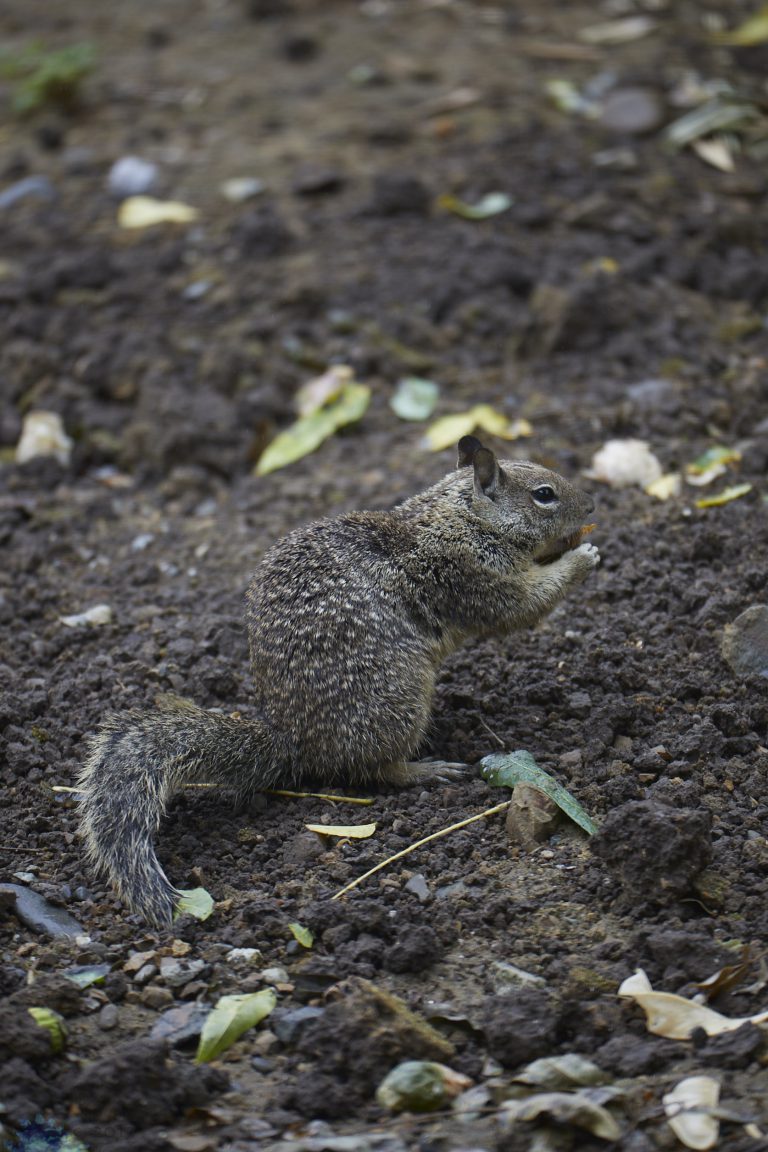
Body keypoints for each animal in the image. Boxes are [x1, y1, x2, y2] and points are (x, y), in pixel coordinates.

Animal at [78, 436, 599, 926]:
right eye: (544, 494)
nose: (592, 507)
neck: (462, 516)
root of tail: (292, 740)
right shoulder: (473, 575)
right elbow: (524, 604)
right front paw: (583, 556)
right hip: (399, 699)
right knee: (374, 770)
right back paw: (427, 770)